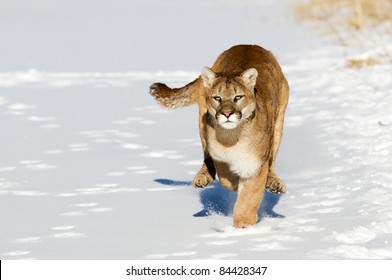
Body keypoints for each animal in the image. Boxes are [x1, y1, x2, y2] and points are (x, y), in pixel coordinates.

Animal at [149, 44, 288, 228]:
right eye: (217, 98)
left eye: (238, 97)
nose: (227, 113)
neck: (232, 137)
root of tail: (248, 45)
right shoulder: (219, 156)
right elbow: (225, 174)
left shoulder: (255, 164)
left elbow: (248, 199)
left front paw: (244, 225)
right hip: (202, 123)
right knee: (206, 158)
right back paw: (202, 178)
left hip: (279, 124)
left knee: (272, 161)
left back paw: (274, 183)